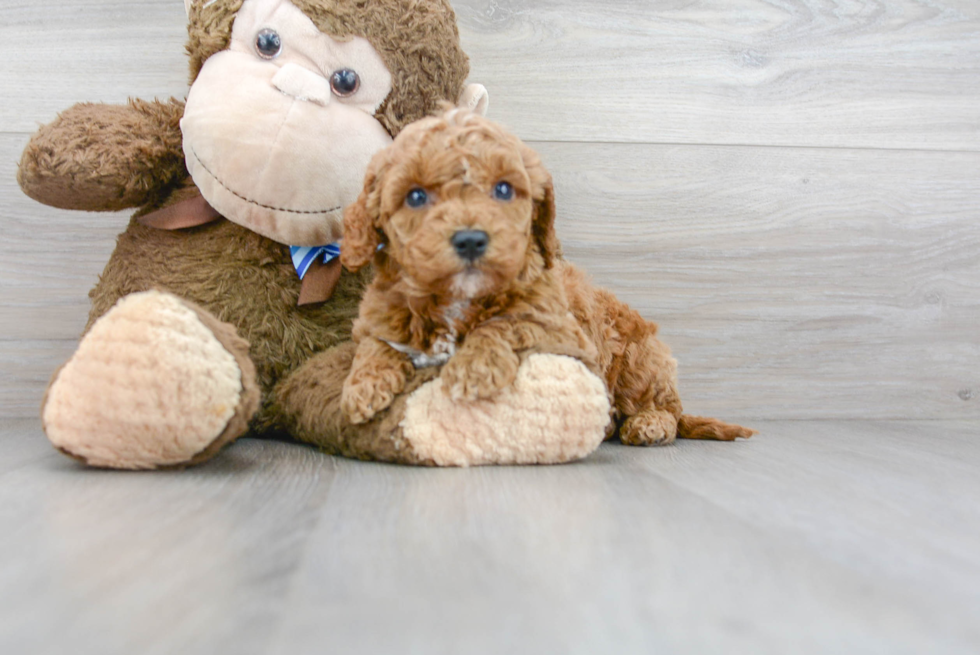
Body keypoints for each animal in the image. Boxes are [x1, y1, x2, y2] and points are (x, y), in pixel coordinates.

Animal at [340, 110, 756, 446]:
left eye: (503, 189)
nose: (471, 239)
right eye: (415, 196)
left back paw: (648, 424)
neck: (457, 300)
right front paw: (362, 387)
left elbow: (510, 322)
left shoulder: (563, 331)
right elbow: (373, 342)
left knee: (666, 407)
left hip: (641, 362)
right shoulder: (377, 316)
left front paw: (475, 368)